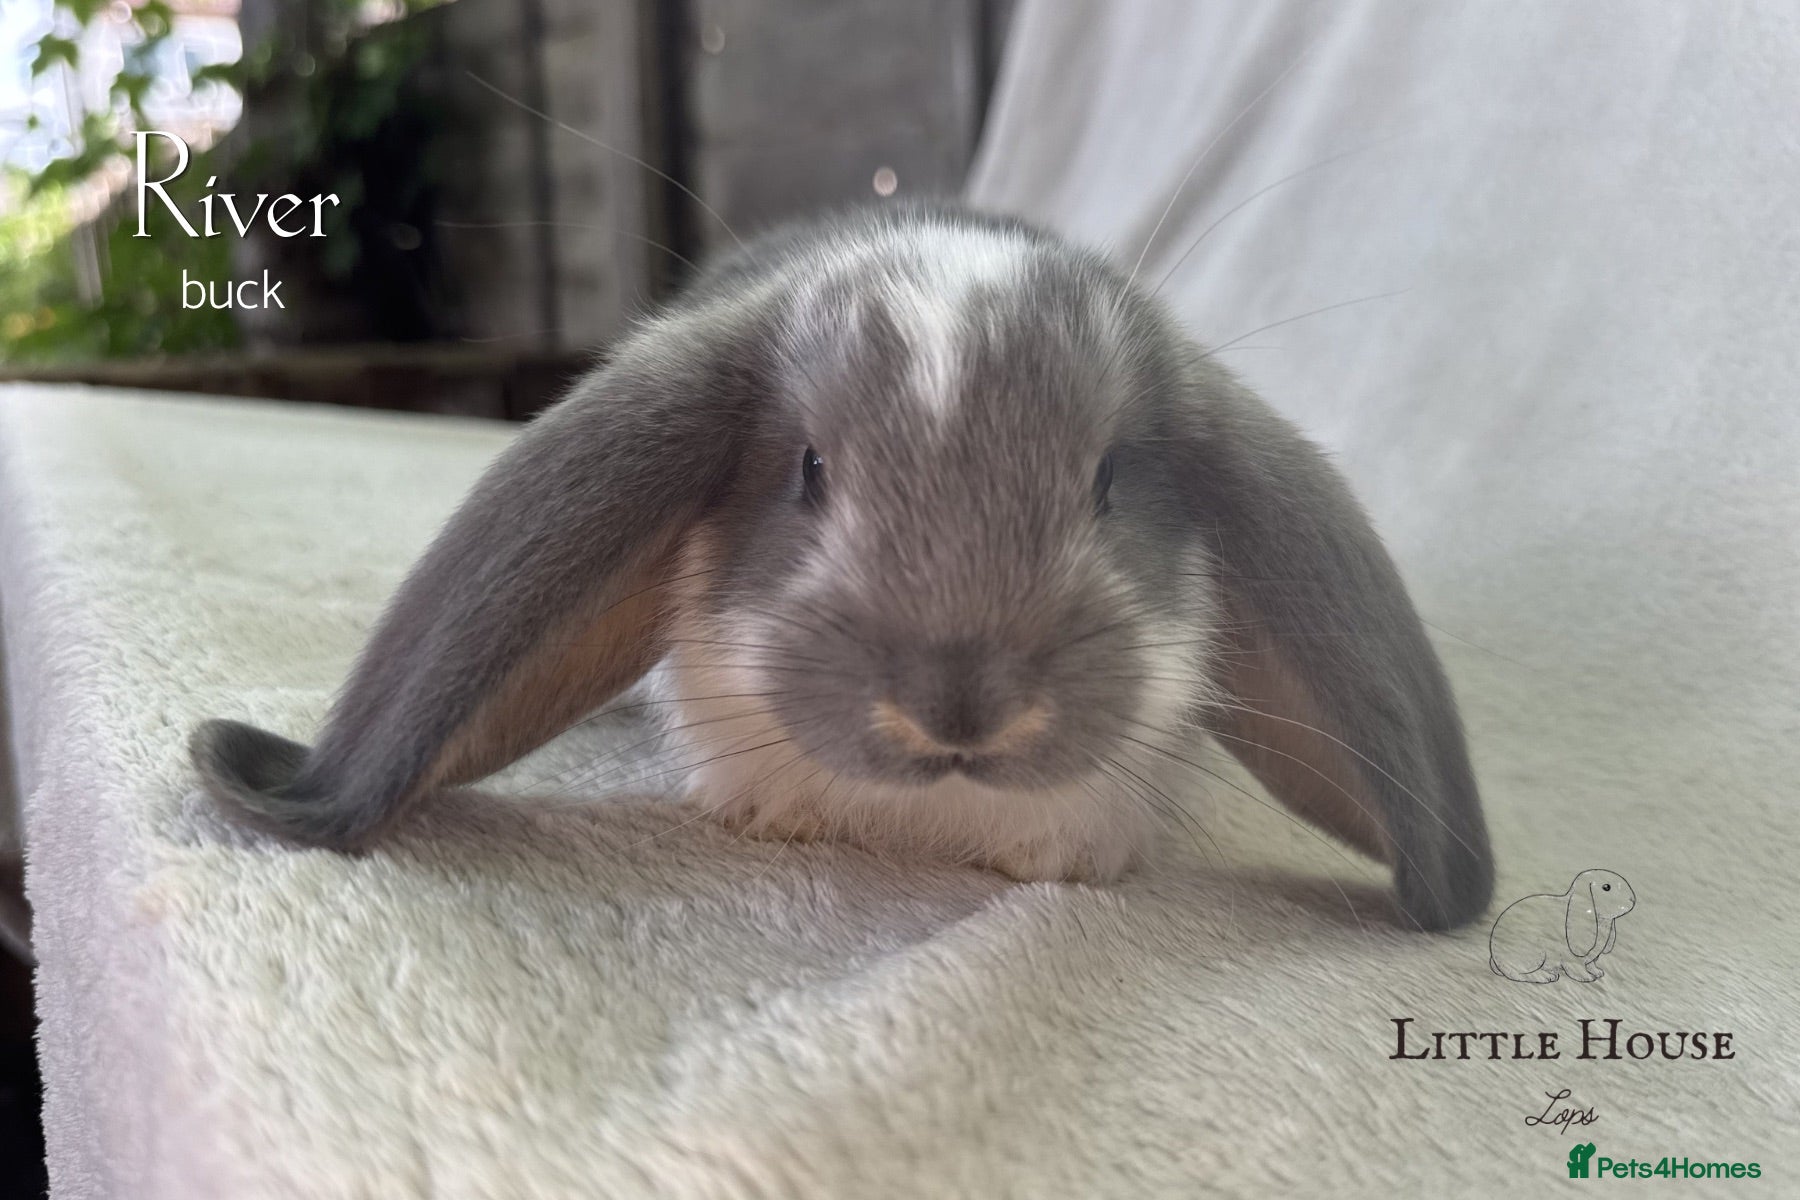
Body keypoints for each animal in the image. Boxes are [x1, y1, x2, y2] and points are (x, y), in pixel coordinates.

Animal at [1489, 870, 1635, 982]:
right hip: (1534, 955)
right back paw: (1545, 976)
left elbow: (1591, 964)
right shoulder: (1572, 959)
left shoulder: (1591, 960)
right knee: (1516, 973)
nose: (1632, 900)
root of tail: (1495, 958)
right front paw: (1587, 977)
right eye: (1606, 887)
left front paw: (1598, 972)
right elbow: (1576, 968)